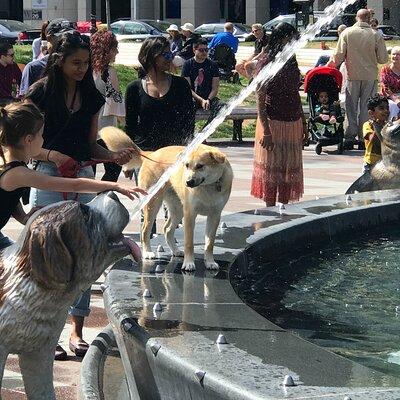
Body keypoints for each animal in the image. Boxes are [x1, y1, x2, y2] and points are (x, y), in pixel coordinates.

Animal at [99, 127, 234, 272]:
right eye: (186, 165)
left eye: (200, 166)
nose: (187, 182)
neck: (209, 186)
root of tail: (151, 154)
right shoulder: (190, 214)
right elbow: (189, 243)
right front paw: (189, 263)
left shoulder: (215, 215)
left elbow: (209, 243)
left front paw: (209, 262)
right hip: (153, 203)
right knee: (145, 230)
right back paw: (147, 252)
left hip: (177, 208)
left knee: (167, 229)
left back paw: (175, 251)